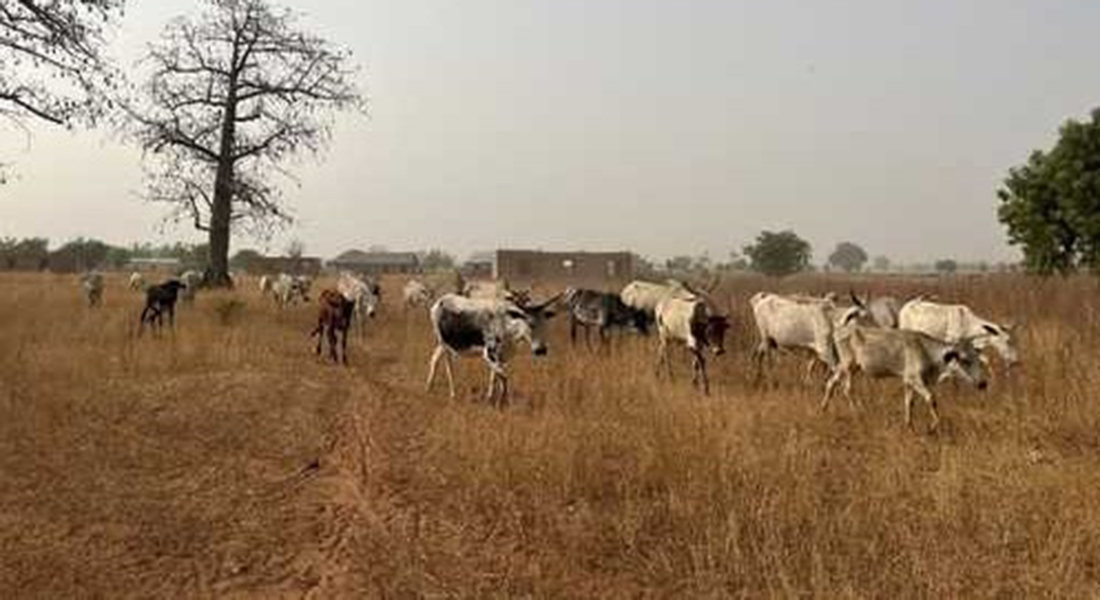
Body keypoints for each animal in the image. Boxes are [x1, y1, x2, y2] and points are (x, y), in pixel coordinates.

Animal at [420, 292, 558, 405]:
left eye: (545, 324)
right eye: (530, 324)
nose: (541, 350)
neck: (507, 324)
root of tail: (440, 301)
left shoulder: (502, 357)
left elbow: (494, 377)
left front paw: (491, 399)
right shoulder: (489, 354)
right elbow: (504, 378)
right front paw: (502, 402)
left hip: (441, 345)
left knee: (434, 360)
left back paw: (428, 388)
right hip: (444, 344)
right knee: (448, 367)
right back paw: (452, 394)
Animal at [827, 323, 990, 431]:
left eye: (977, 359)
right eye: (965, 360)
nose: (983, 383)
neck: (927, 352)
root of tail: (839, 330)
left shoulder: (908, 382)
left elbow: (909, 403)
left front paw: (909, 425)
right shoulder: (914, 379)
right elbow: (931, 398)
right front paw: (933, 426)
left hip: (846, 366)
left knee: (831, 382)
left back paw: (824, 407)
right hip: (849, 366)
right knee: (847, 389)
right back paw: (857, 412)